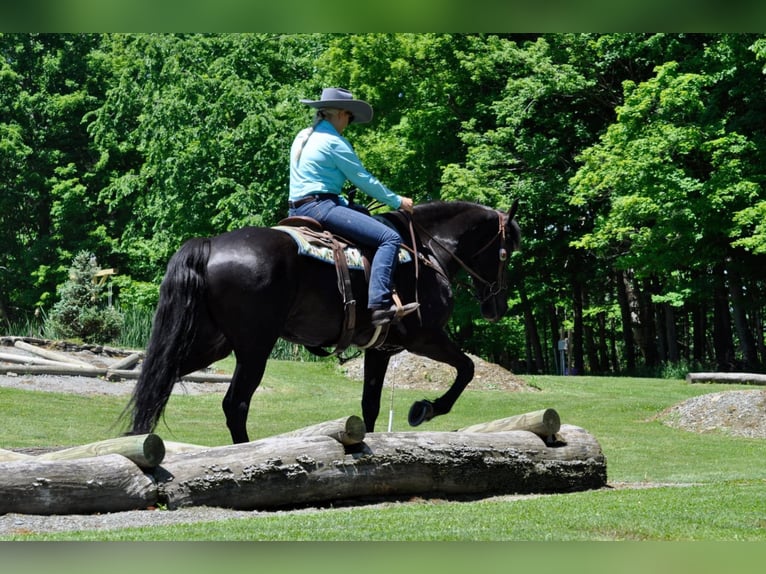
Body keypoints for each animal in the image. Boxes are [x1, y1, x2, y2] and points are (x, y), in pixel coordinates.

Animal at [124, 200, 520, 444]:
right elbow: (467, 369)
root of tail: (210, 245)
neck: (426, 250)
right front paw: (424, 409)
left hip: (211, 343)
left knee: (158, 380)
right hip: (254, 348)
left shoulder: (381, 349)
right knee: (235, 404)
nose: (497, 306)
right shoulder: (425, 337)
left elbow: (370, 404)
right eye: (507, 252)